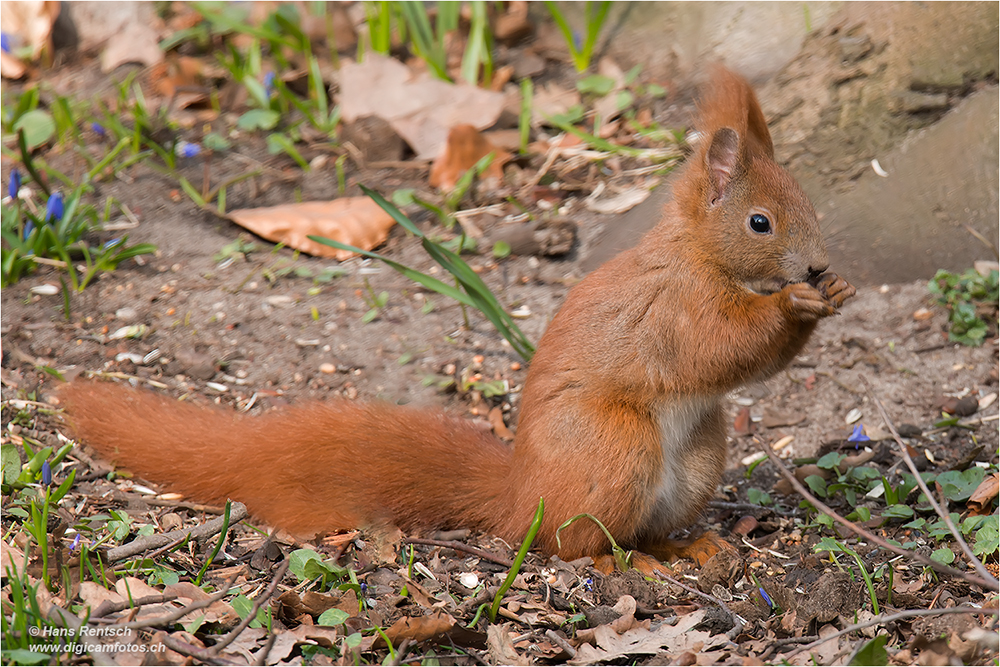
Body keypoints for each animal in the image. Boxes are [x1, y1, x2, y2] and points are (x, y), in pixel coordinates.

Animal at [58, 68, 856, 576]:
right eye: (760, 222)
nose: (819, 264)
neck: (698, 253)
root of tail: (521, 499)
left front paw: (835, 288)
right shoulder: (678, 310)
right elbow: (725, 345)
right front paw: (795, 304)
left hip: (696, 458)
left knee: (646, 528)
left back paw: (686, 548)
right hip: (614, 445)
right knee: (572, 547)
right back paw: (626, 564)